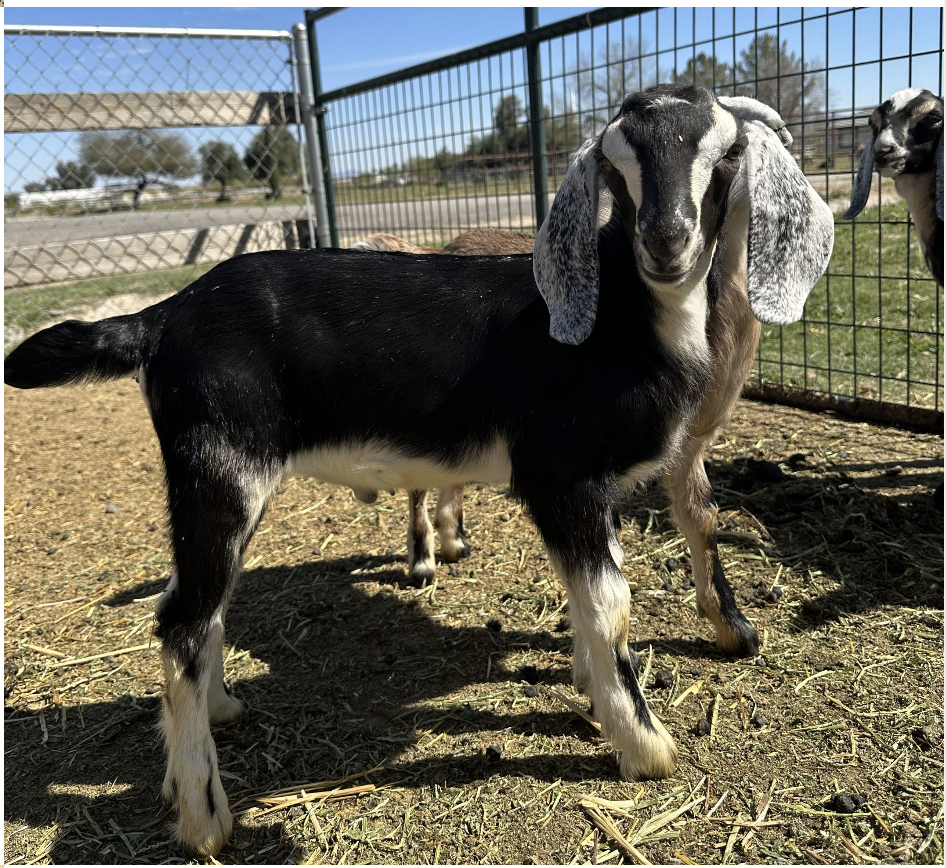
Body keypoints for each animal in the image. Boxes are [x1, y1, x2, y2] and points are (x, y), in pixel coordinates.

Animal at [3, 85, 828, 856]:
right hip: (218, 469)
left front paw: (593, 693)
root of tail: (160, 317)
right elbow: (610, 605)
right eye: (614, 163)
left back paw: (216, 718)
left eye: (726, 155)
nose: (666, 241)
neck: (620, 324)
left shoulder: (591, 492)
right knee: (180, 620)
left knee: (198, 607)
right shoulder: (559, 474)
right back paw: (205, 817)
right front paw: (646, 746)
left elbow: (586, 596)